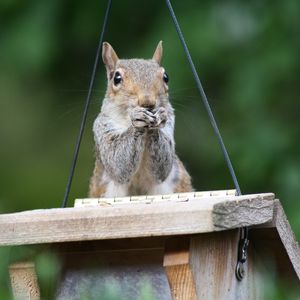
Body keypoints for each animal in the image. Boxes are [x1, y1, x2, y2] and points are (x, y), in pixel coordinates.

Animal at [89, 41, 192, 197]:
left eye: (166, 77)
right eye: (116, 79)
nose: (147, 102)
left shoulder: (170, 125)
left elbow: (163, 167)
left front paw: (159, 118)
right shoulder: (102, 127)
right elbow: (116, 162)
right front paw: (137, 120)